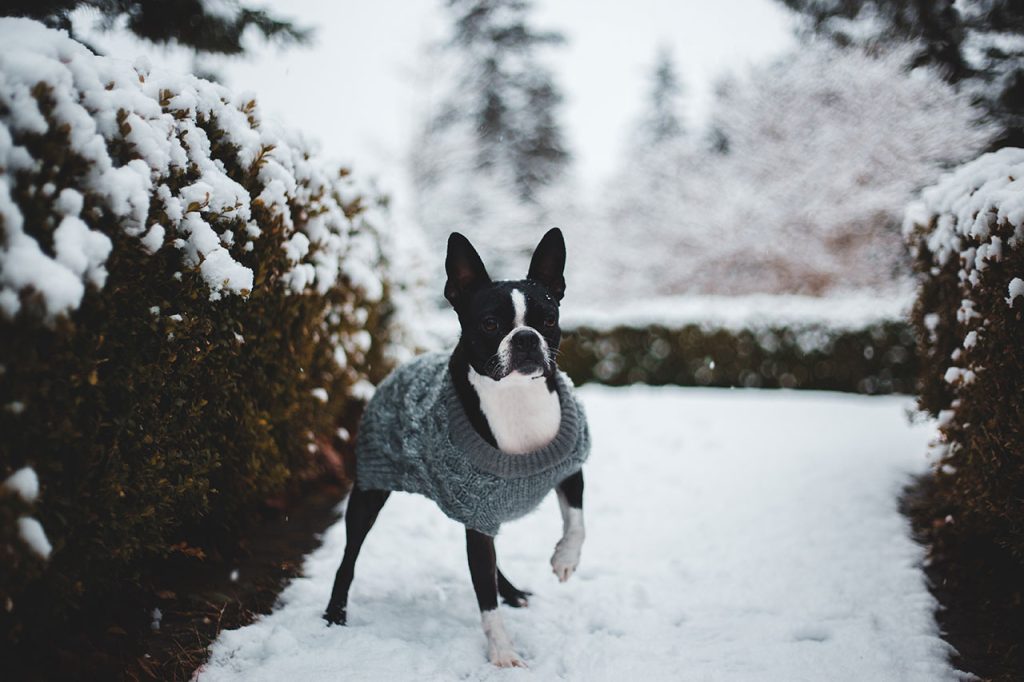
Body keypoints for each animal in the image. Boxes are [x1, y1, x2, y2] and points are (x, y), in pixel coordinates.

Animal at [323, 227, 589, 663]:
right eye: (490, 323)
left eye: (549, 320)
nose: (526, 338)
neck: (515, 397)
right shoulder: (477, 511)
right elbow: (485, 599)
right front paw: (502, 653)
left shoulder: (569, 464)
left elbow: (577, 522)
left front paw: (564, 559)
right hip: (369, 491)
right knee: (349, 556)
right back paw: (335, 612)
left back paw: (512, 591)